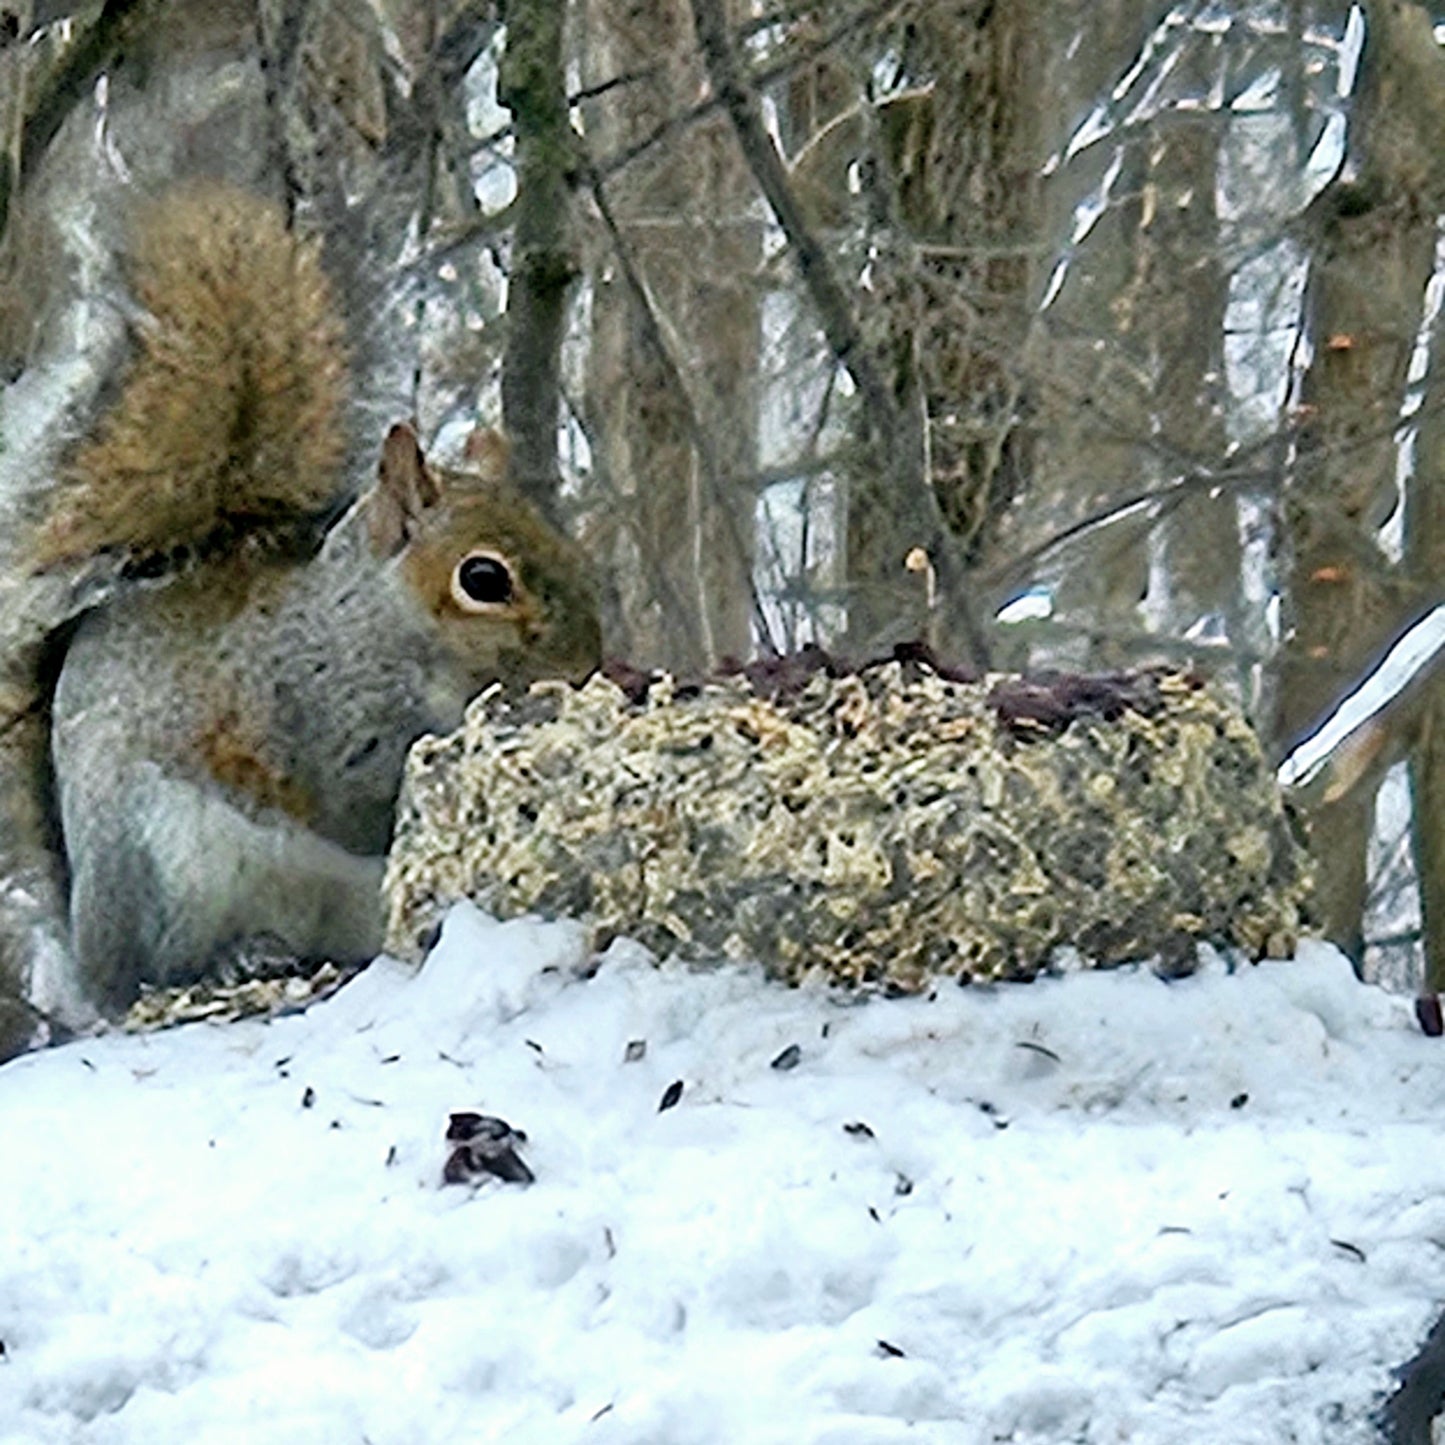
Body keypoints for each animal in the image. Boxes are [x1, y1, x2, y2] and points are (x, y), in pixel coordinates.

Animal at [4, 183, 598, 1028]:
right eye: (483, 579)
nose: (586, 664)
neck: (373, 629)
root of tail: (89, 947)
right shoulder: (308, 716)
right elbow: (353, 799)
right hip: (162, 861)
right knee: (156, 970)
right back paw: (231, 957)